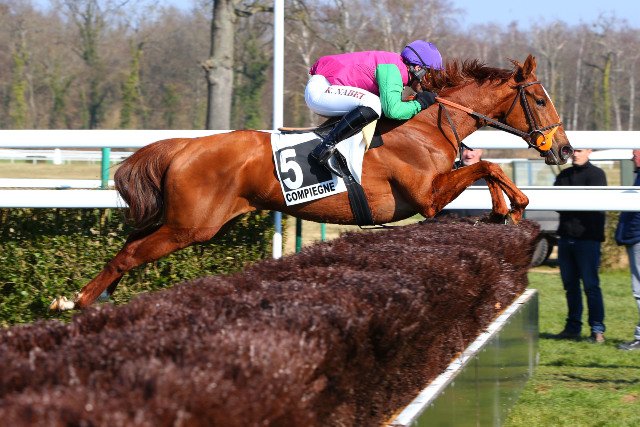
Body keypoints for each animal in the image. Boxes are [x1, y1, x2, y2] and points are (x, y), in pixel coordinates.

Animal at [50, 54, 573, 311]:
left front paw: (503, 211)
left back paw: (91, 297)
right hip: (191, 226)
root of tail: (183, 148)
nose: (564, 151)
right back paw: (75, 301)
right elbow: (489, 168)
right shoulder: (426, 198)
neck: (426, 125)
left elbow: (485, 167)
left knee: (129, 246)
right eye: (540, 100)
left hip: (181, 221)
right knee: (131, 254)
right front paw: (514, 205)